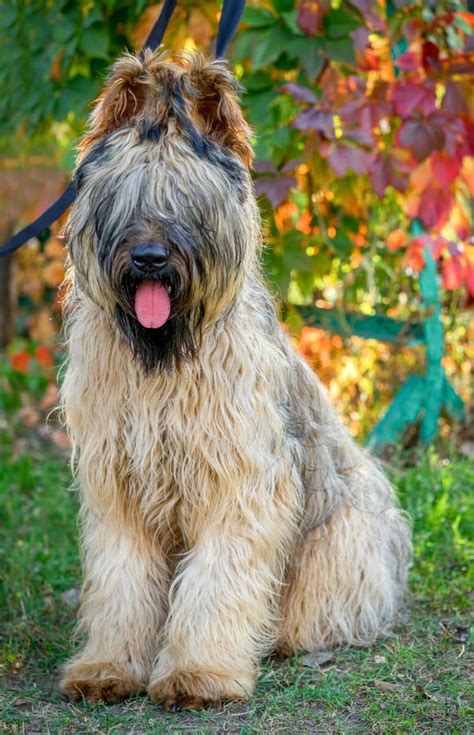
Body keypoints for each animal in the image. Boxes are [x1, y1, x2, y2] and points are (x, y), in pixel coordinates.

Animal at [57, 49, 410, 712]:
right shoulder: (118, 486)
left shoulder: (238, 480)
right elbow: (121, 580)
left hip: (342, 535)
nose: (149, 259)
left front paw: (199, 673)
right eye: (126, 196)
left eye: (190, 201)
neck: (165, 357)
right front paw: (107, 666)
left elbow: (217, 579)